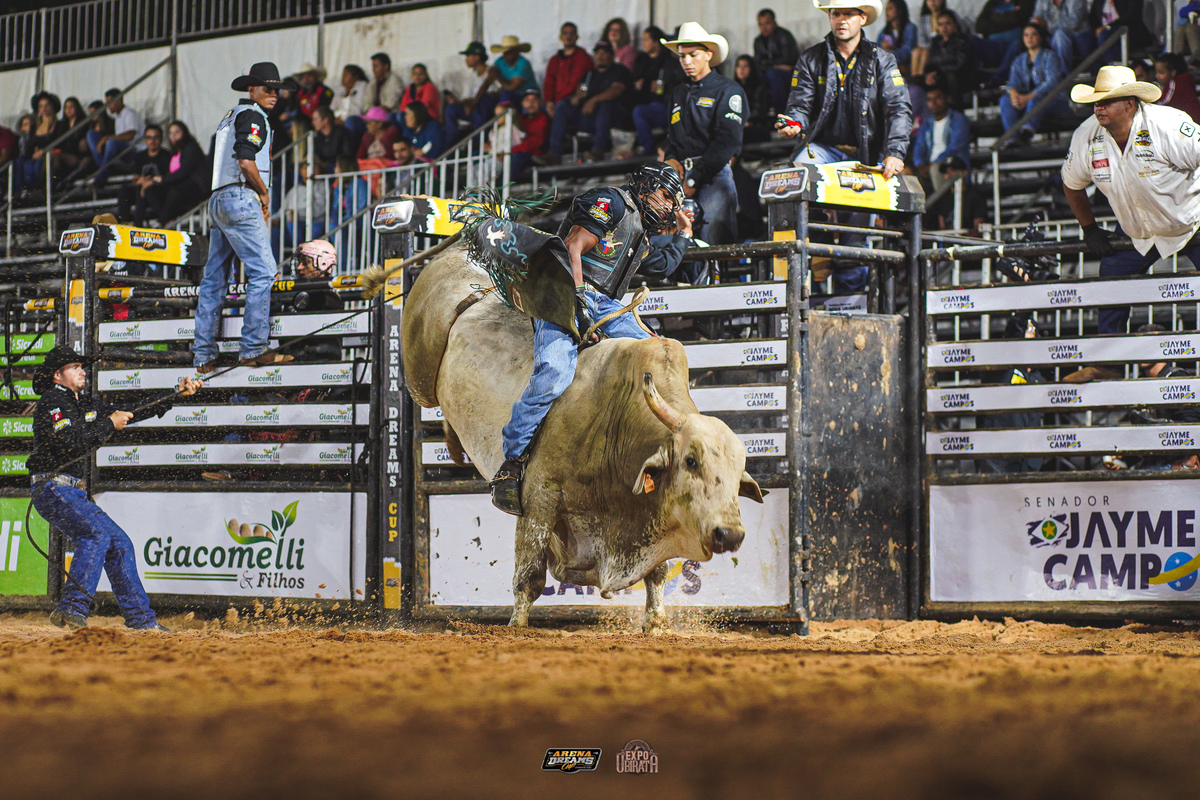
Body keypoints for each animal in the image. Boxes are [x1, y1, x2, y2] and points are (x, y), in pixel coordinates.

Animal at [402, 247, 763, 632]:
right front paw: (517, 626)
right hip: (418, 380)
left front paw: (655, 622)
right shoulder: (539, 498)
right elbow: (529, 578)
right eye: (691, 460)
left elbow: (657, 572)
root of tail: (457, 253)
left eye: (738, 474)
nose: (730, 534)